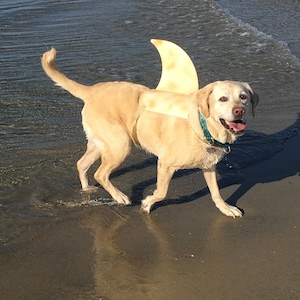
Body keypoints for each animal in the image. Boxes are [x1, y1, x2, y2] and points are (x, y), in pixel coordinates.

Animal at [41, 48, 258, 218]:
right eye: (222, 99)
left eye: (243, 97)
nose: (239, 111)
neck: (203, 125)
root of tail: (90, 90)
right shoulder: (165, 164)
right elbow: (162, 191)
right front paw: (146, 203)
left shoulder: (209, 166)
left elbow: (216, 193)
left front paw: (226, 208)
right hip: (121, 145)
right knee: (100, 173)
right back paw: (120, 197)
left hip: (101, 143)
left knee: (82, 164)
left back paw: (86, 189)